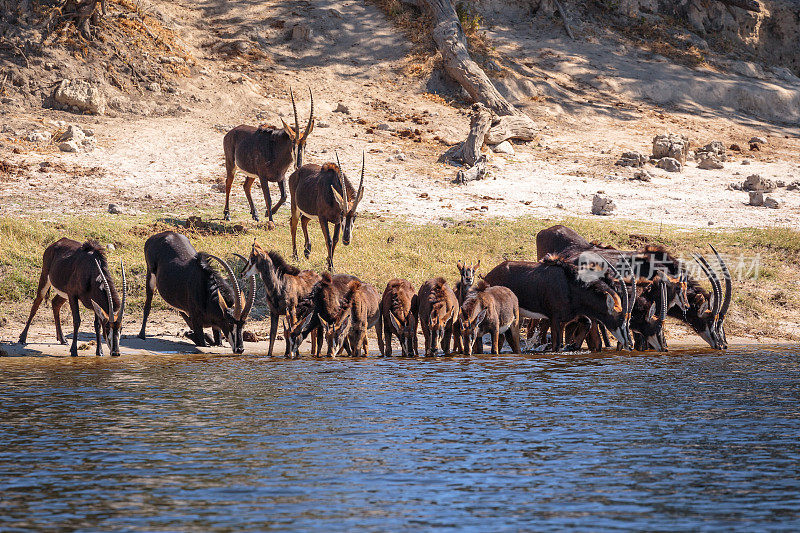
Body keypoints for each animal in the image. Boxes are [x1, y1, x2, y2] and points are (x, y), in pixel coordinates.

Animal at [223, 87, 318, 227]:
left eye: (305, 144)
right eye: (293, 142)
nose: (298, 165)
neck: (275, 151)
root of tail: (230, 132)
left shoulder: (281, 177)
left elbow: (284, 196)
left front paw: (268, 213)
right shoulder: (263, 177)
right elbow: (268, 198)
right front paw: (271, 220)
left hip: (252, 173)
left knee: (246, 186)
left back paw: (255, 214)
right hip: (231, 165)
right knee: (228, 184)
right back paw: (227, 214)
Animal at [484, 256, 636, 352]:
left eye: (629, 321)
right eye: (620, 320)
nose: (630, 344)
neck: (571, 285)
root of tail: (489, 275)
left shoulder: (567, 318)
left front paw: (571, 346)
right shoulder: (555, 319)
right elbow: (556, 346)